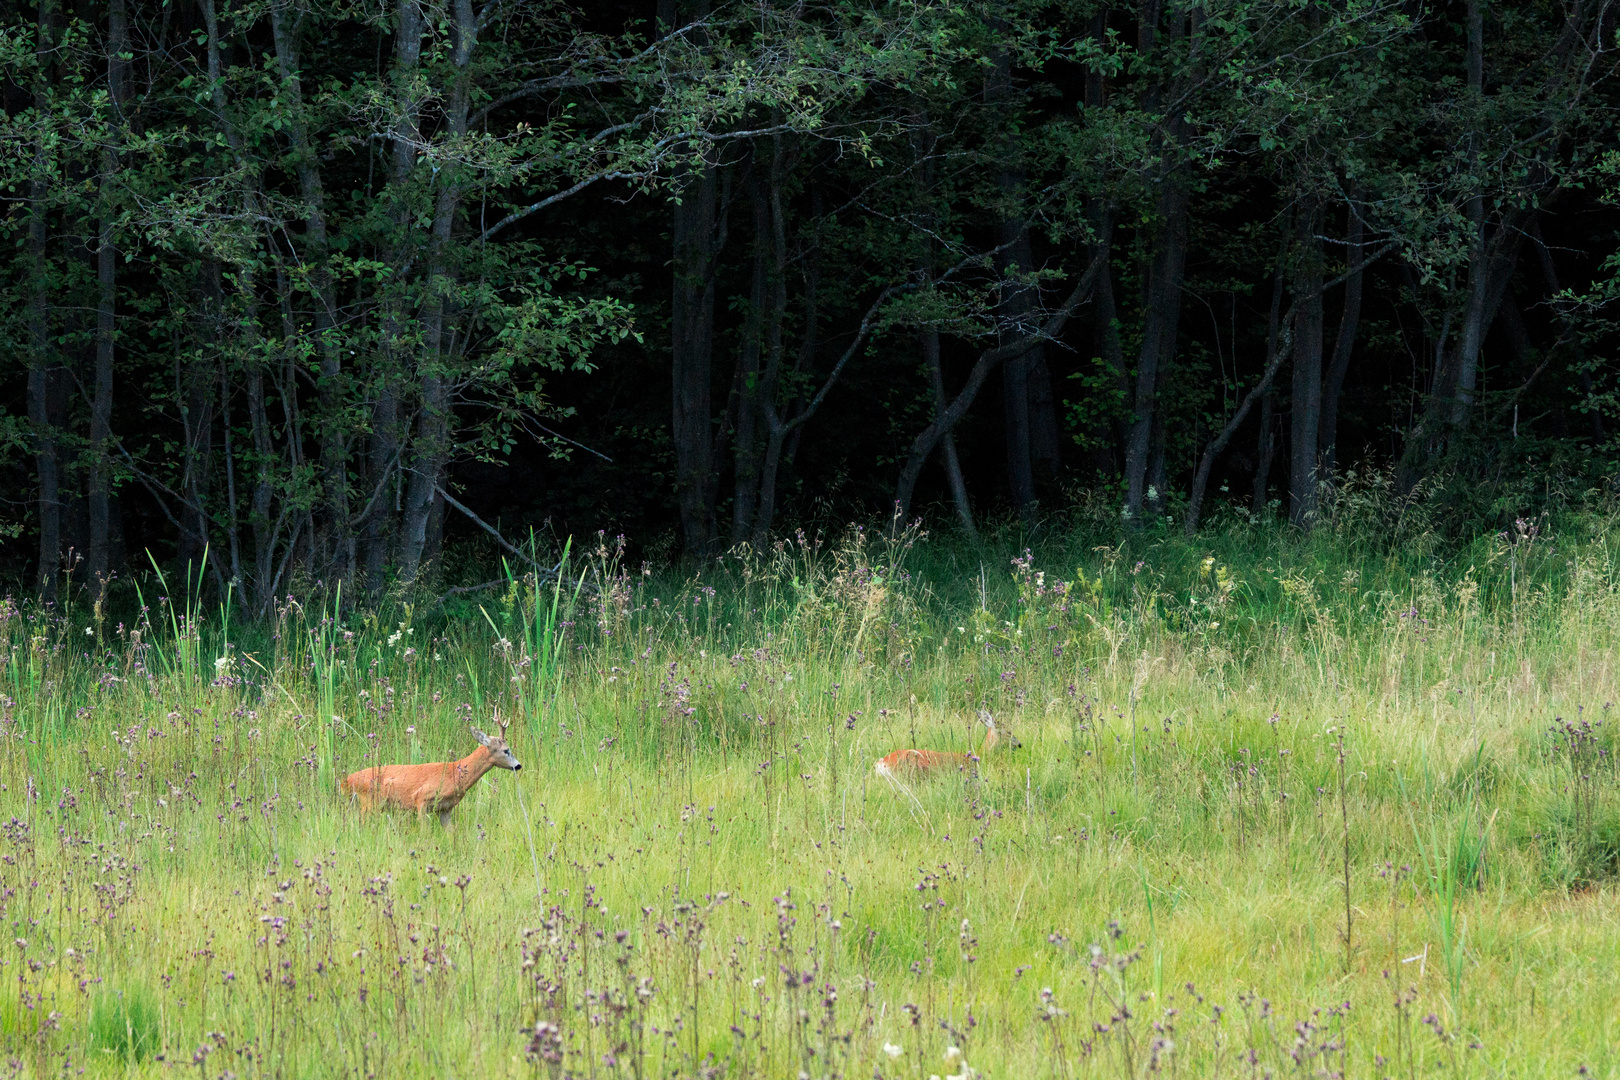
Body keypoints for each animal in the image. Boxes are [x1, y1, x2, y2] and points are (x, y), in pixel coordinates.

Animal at [338, 709, 521, 829]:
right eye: (506, 750)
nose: (518, 765)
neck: (455, 775)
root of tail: (345, 781)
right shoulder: (421, 799)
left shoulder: (446, 808)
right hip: (368, 802)